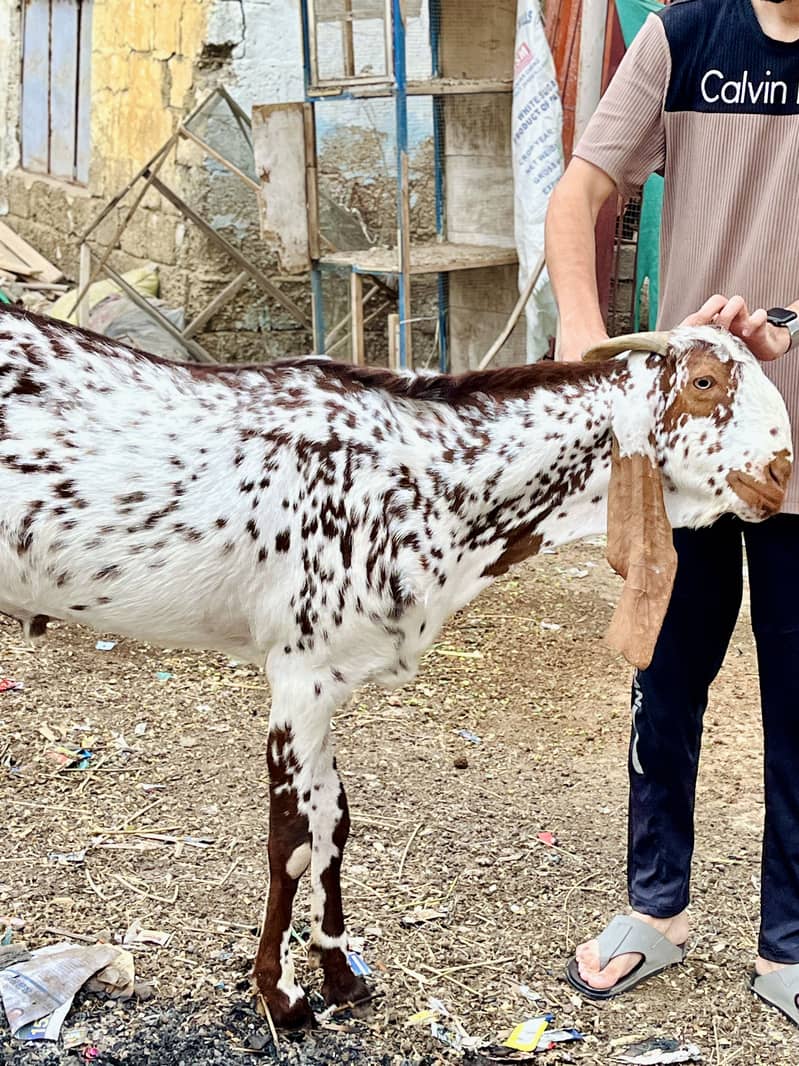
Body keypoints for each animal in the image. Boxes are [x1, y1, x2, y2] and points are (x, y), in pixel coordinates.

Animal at [0, 305, 791, 1026]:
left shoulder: (331, 681)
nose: (781, 474)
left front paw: (340, 976)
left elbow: (334, 821)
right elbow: (291, 838)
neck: (425, 480)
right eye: (703, 382)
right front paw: (281, 996)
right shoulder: (299, 673)